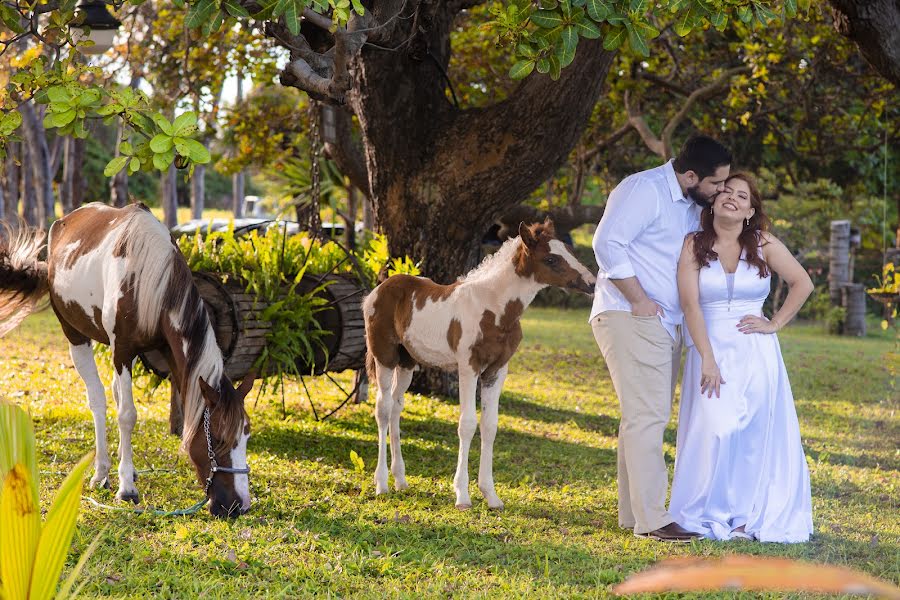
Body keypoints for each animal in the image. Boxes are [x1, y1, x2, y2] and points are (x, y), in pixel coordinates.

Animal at [0, 203, 255, 516]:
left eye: (246, 435)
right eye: (217, 438)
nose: (239, 505)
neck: (149, 277)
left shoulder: (161, 351)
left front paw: (128, 472)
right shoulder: (121, 349)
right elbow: (126, 415)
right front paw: (126, 488)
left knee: (113, 393)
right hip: (75, 336)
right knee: (98, 400)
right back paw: (102, 472)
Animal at [362, 218, 596, 508]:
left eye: (569, 251)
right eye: (551, 259)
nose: (591, 283)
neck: (495, 310)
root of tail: (377, 290)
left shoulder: (496, 371)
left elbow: (489, 426)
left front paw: (490, 494)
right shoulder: (468, 368)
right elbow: (467, 425)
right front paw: (462, 494)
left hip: (407, 362)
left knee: (396, 407)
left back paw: (401, 480)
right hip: (384, 356)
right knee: (382, 408)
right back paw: (381, 483)